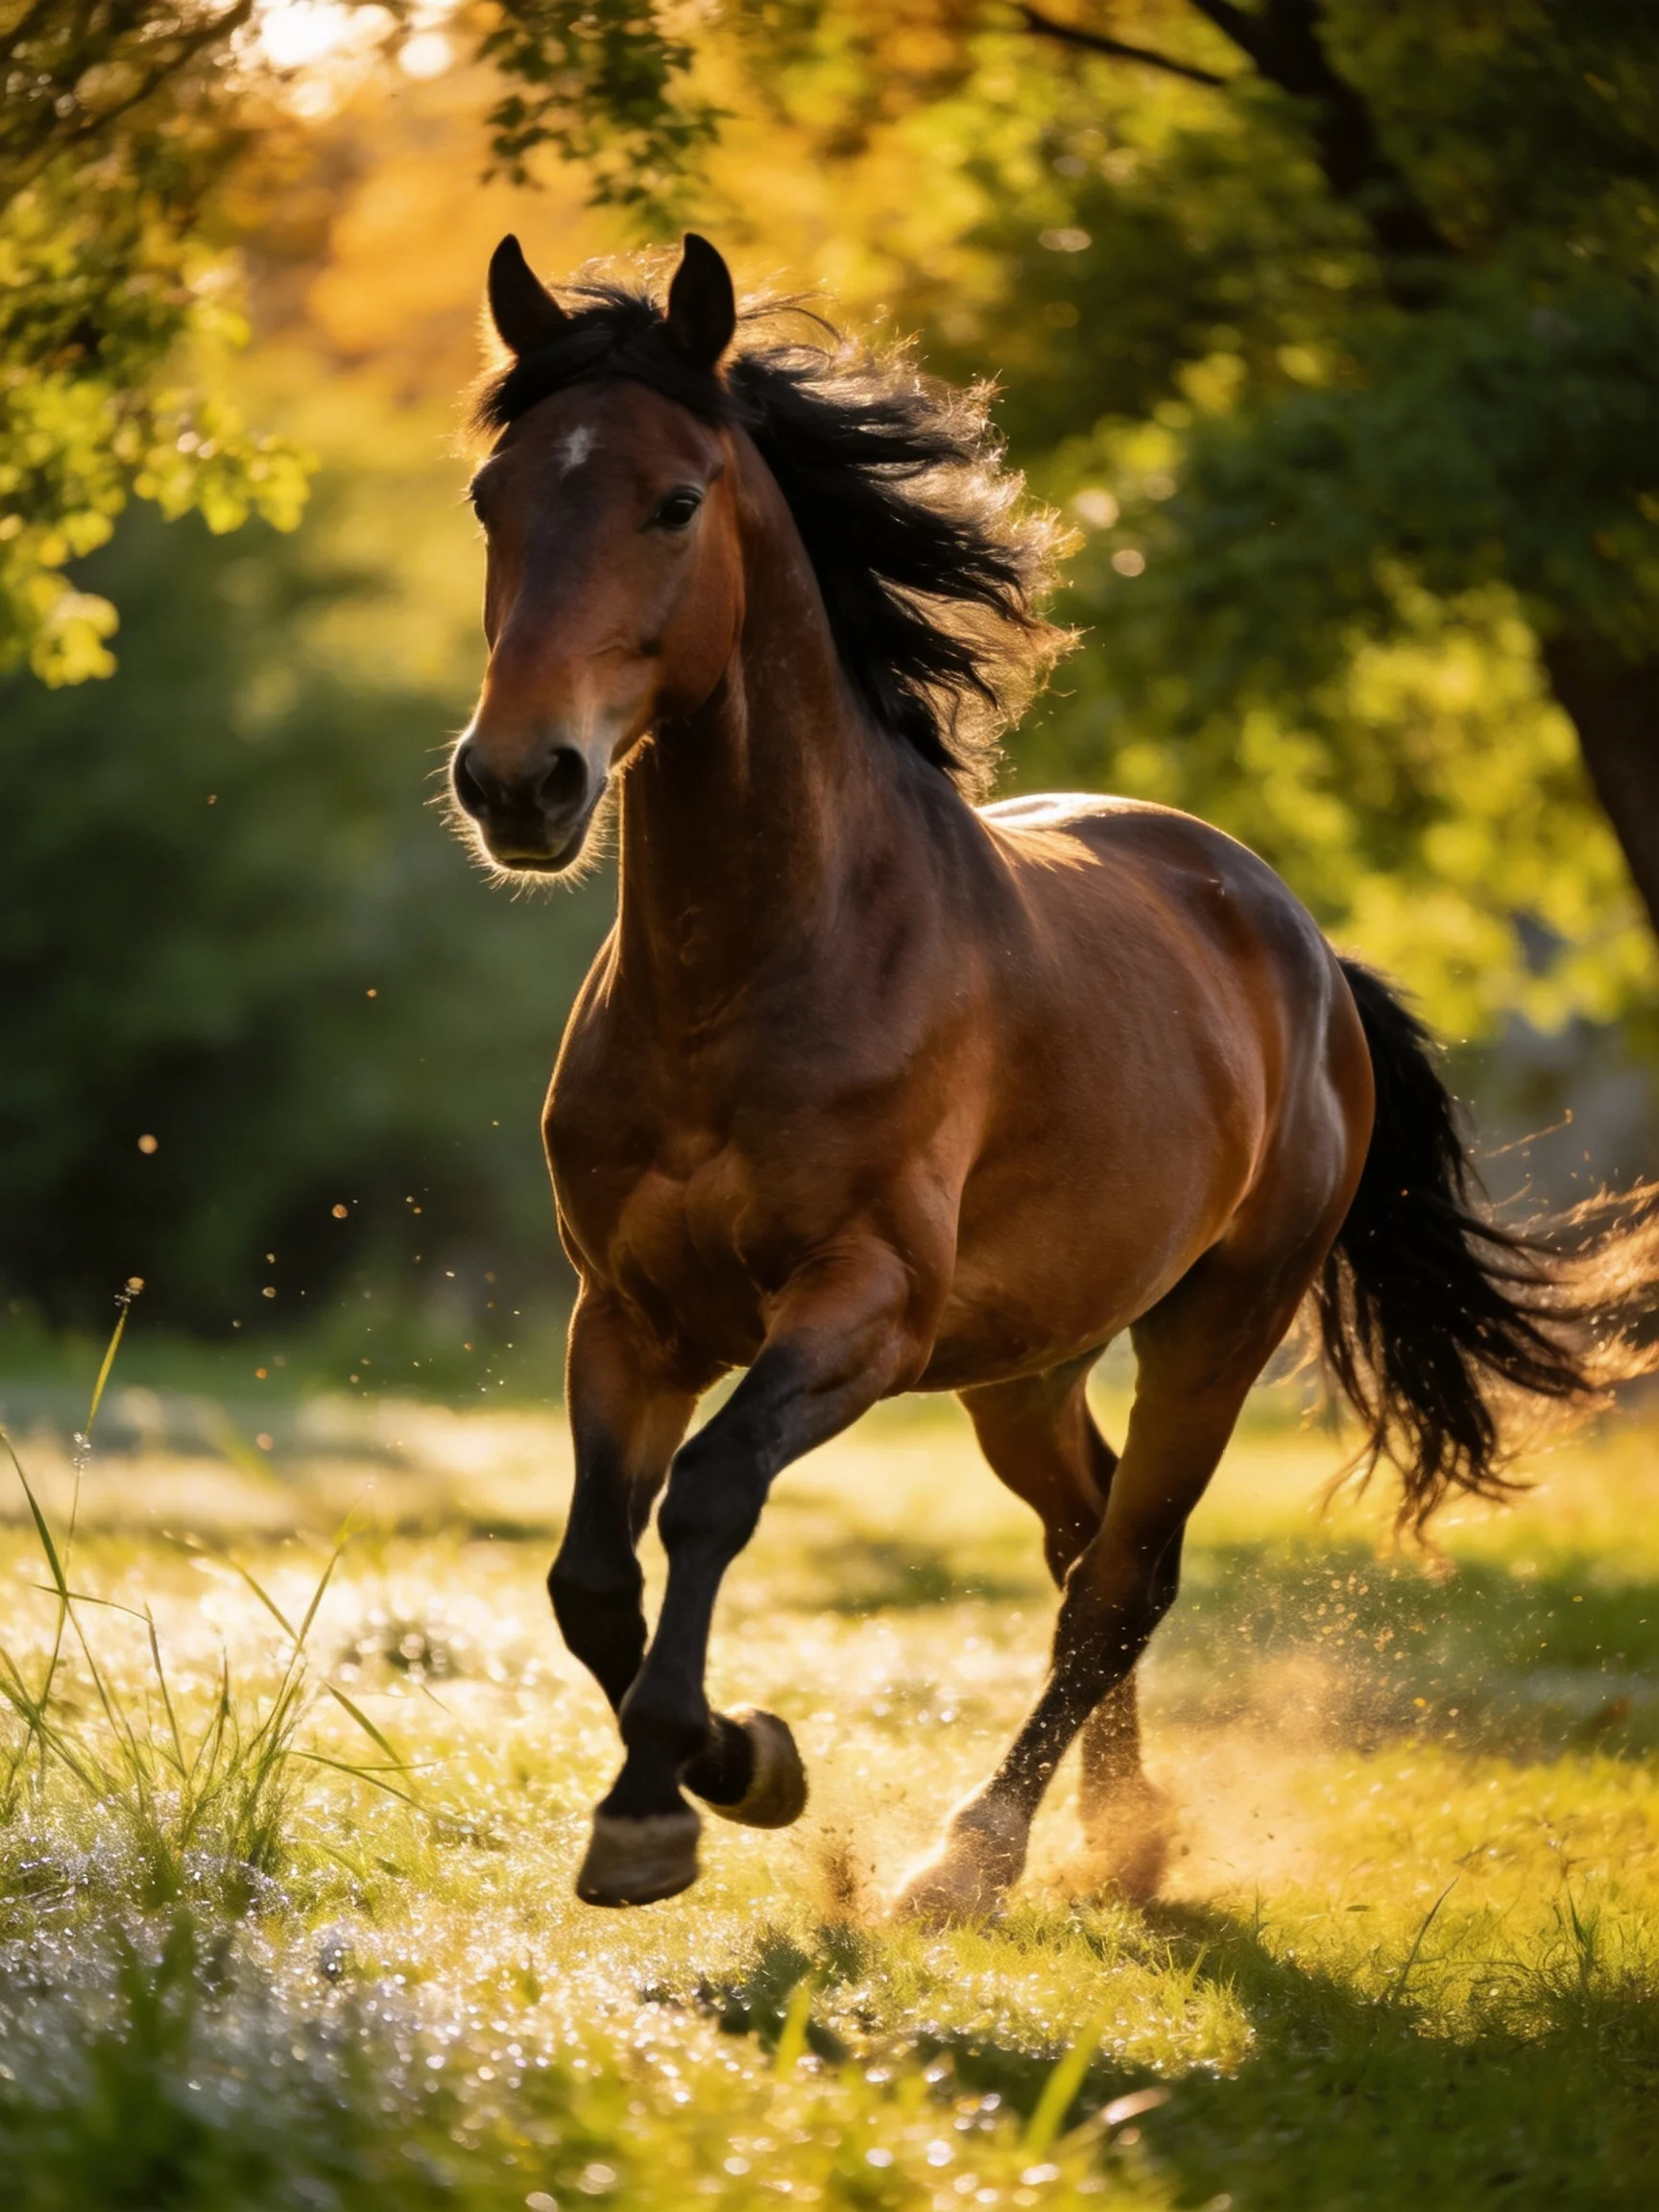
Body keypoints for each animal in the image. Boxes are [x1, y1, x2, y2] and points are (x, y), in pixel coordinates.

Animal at [449, 232, 1658, 1914]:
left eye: (673, 501)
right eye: (492, 498)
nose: (519, 783)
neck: (755, 972)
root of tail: (1295, 939)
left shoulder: (863, 1305)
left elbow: (709, 1492)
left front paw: (685, 1794)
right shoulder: (629, 1316)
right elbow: (585, 1577)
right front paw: (737, 1766)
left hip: (1215, 1327)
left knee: (1127, 1574)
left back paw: (980, 1851)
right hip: (1024, 1366)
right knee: (1083, 1539)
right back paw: (1116, 1827)